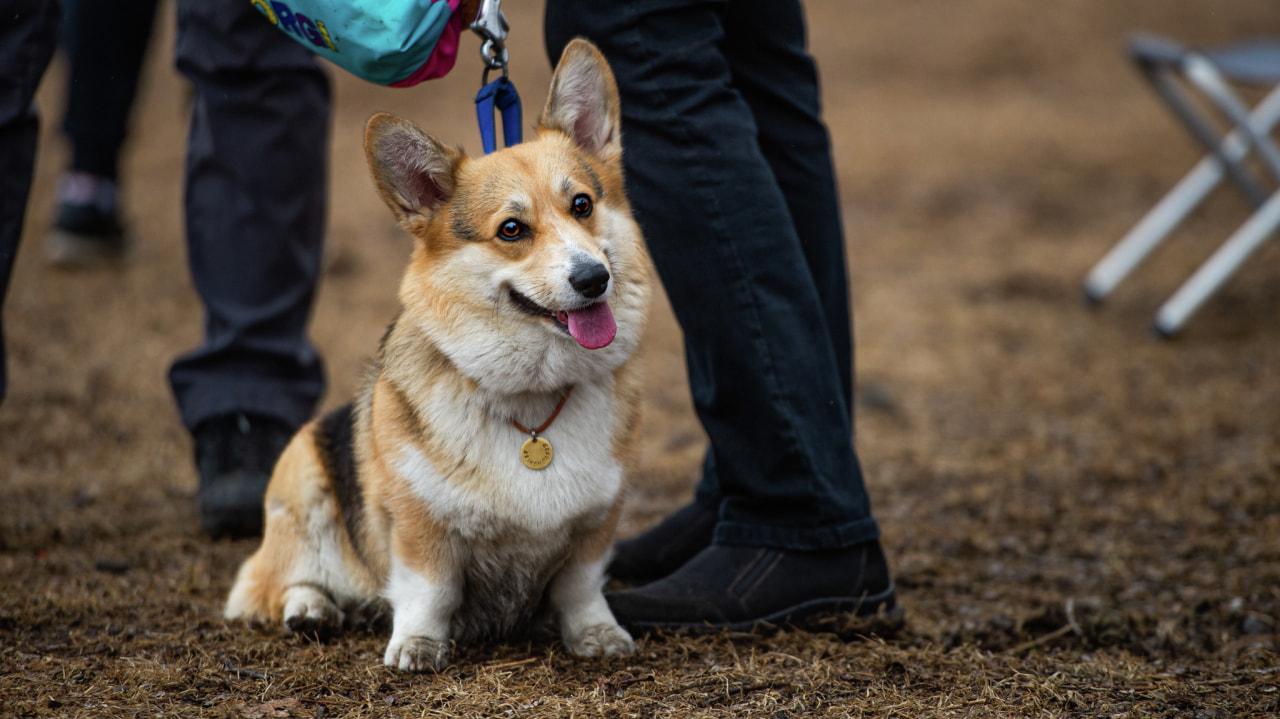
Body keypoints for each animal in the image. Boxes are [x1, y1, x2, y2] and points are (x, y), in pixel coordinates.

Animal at [222, 37, 650, 670]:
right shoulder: (420, 526)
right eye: (512, 230)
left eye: (582, 204)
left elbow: (581, 586)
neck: (533, 398)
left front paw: (596, 634)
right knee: (273, 583)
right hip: (303, 488)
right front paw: (418, 645)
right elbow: (430, 590)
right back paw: (311, 609)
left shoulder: (597, 520)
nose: (594, 278)